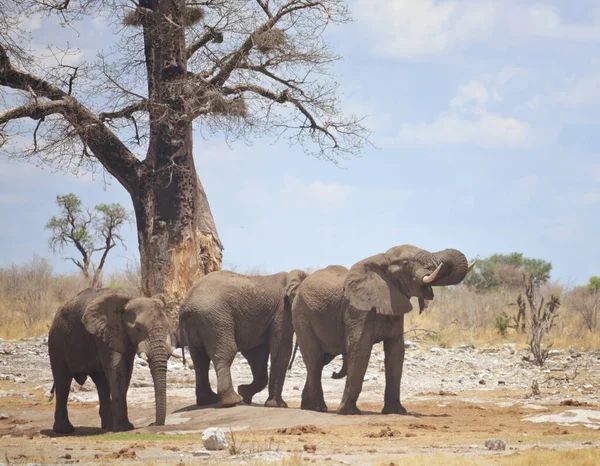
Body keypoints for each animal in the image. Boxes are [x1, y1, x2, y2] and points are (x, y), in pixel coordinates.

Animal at [48, 288, 173, 434]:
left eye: (168, 327)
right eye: (138, 328)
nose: (154, 424)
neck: (130, 298)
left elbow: (126, 371)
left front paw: (120, 427)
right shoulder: (106, 332)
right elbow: (118, 369)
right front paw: (124, 429)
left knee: (101, 382)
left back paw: (106, 427)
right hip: (56, 340)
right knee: (62, 380)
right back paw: (64, 430)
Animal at [178, 270, 308, 408]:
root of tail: (185, 306)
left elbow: (257, 355)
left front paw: (245, 394)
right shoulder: (282, 310)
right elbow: (281, 349)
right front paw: (278, 405)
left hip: (198, 323)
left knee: (199, 359)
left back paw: (209, 400)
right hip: (216, 319)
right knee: (226, 352)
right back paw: (233, 401)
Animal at [292, 246, 474, 416]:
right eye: (406, 263)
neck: (380, 262)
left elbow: (396, 352)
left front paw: (396, 412)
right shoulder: (357, 309)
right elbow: (360, 349)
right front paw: (348, 412)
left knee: (320, 361)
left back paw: (308, 406)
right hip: (301, 315)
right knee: (314, 359)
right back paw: (318, 408)